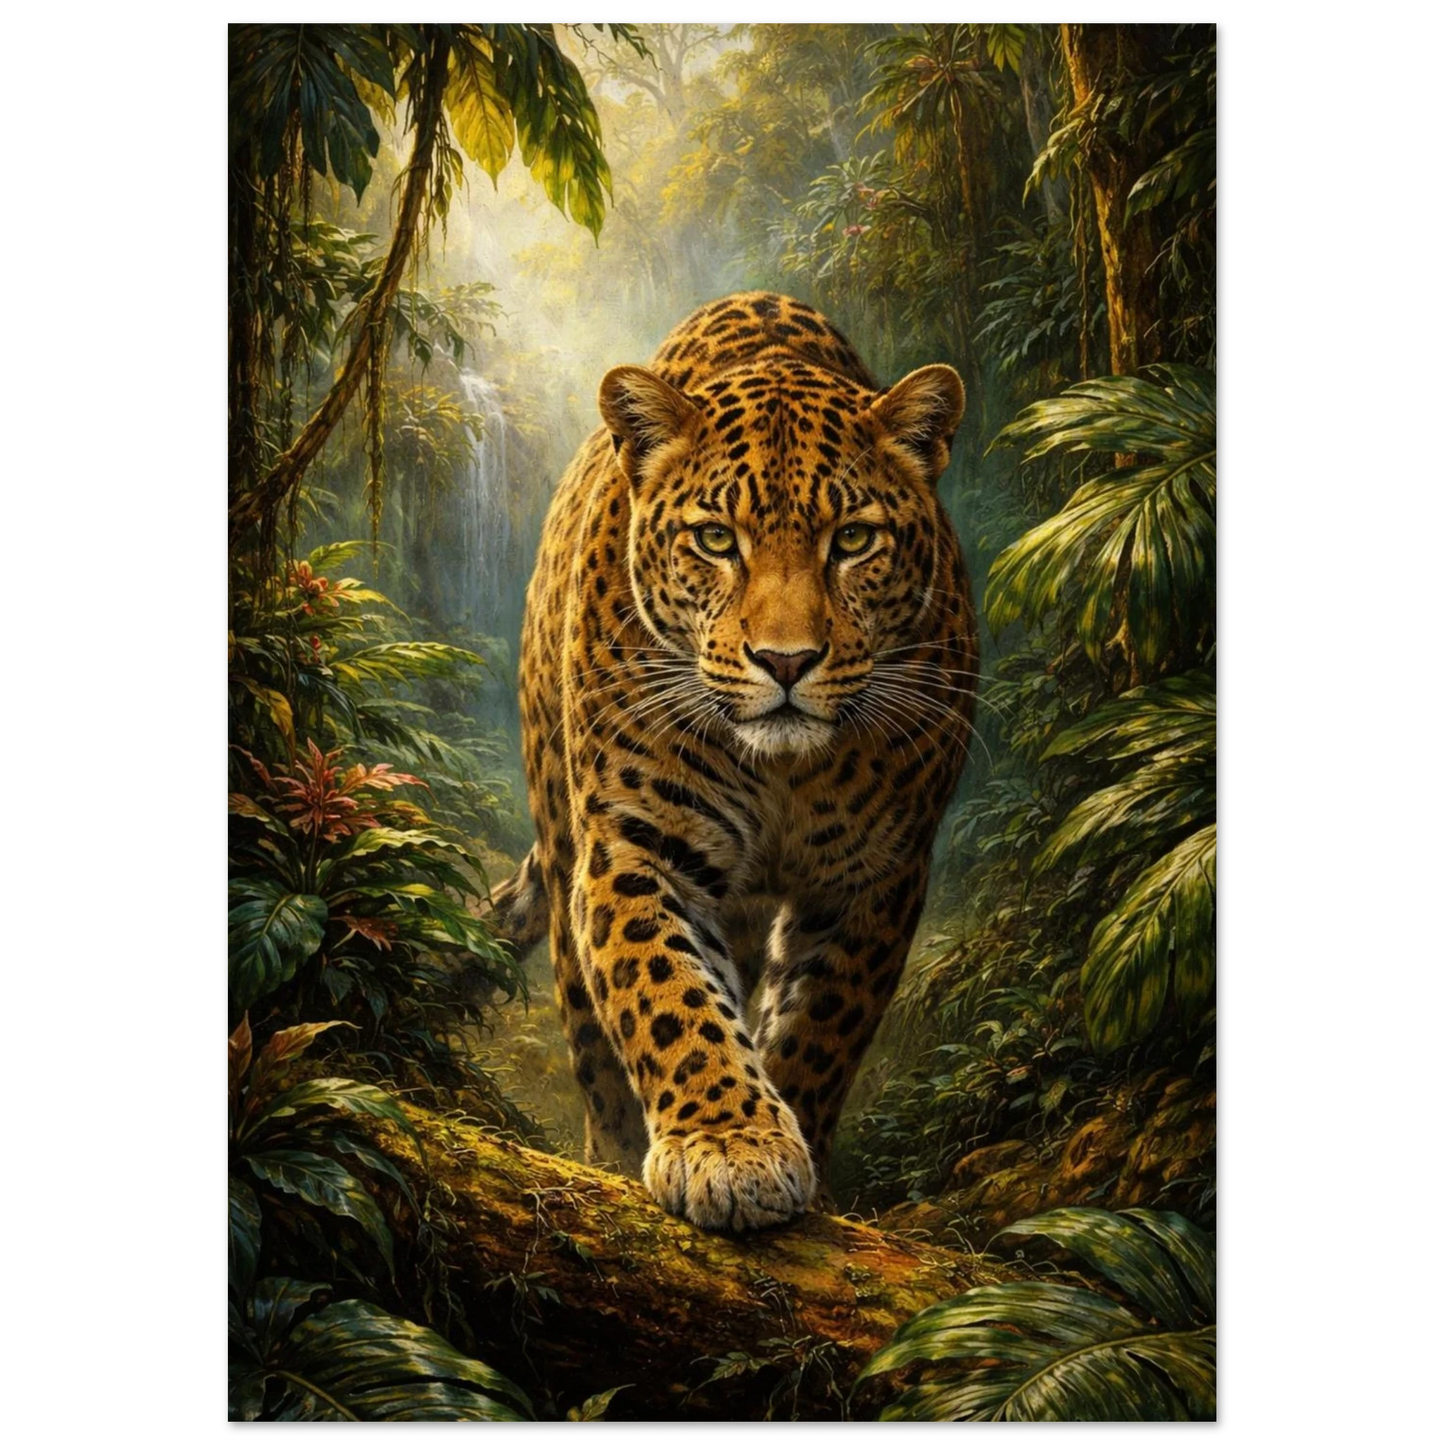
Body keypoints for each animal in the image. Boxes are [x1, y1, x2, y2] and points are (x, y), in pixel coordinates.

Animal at [491, 292, 977, 1233]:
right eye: (716, 538)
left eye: (852, 539)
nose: (786, 661)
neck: (782, 774)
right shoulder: (636, 846)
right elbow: (667, 997)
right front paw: (730, 1144)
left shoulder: (878, 873)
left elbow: (821, 1026)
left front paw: (788, 1137)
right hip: (561, 829)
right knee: (589, 1026)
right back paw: (612, 1150)